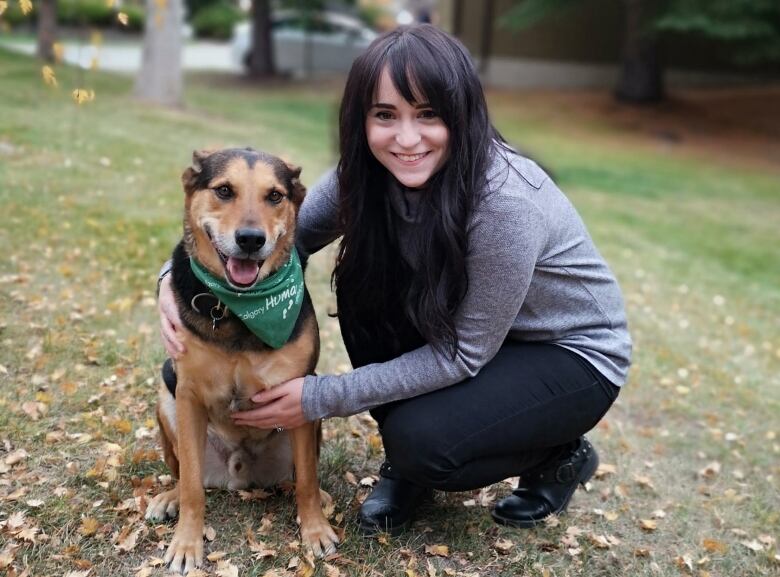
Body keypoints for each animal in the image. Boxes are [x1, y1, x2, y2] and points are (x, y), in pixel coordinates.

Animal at [145, 147, 338, 572]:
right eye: (224, 190)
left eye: (275, 196)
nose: (250, 240)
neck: (236, 309)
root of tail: (238, 475)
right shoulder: (188, 395)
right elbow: (192, 488)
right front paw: (186, 543)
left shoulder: (298, 395)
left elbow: (308, 480)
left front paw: (315, 530)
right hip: (166, 396)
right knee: (186, 475)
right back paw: (168, 498)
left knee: (299, 478)